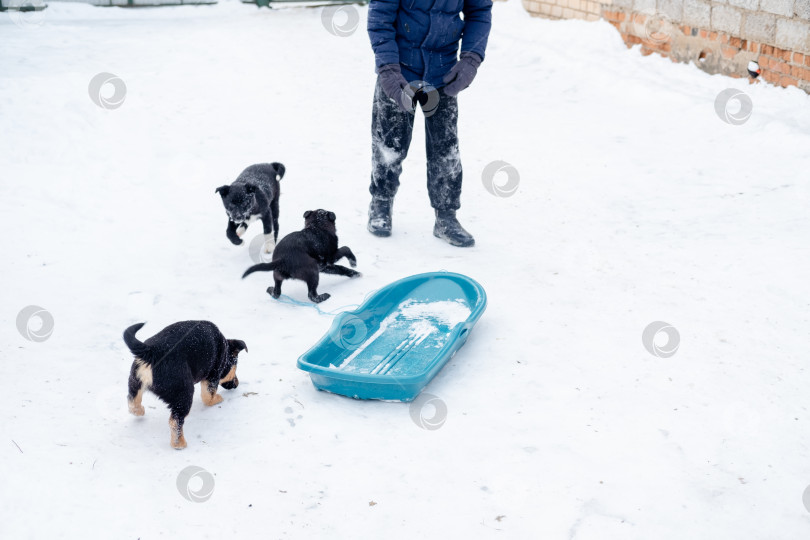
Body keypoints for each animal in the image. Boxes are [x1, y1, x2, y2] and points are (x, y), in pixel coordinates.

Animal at [123, 322, 246, 450]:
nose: (237, 384)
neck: (225, 349)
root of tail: (152, 352)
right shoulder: (213, 374)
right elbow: (208, 397)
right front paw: (217, 398)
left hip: (134, 381)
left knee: (132, 402)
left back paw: (139, 411)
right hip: (184, 393)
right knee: (175, 421)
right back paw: (179, 444)